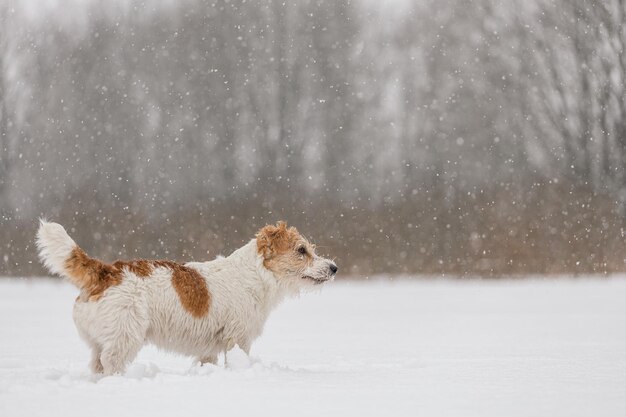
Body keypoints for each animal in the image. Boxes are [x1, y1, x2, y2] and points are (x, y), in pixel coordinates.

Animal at [34, 221, 336, 374]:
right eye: (301, 250)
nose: (334, 267)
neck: (254, 274)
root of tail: (105, 271)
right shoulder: (238, 339)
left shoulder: (209, 349)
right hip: (125, 338)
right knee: (111, 364)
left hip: (102, 340)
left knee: (96, 365)